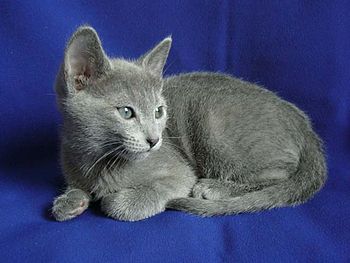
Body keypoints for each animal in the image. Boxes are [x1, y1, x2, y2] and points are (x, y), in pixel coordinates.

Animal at [51, 26, 326, 223]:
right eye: (127, 112)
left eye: (158, 111)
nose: (154, 140)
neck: (96, 160)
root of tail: (302, 122)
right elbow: (76, 188)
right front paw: (70, 201)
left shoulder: (179, 175)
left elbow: (127, 201)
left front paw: (112, 199)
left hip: (214, 128)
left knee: (281, 175)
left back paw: (214, 187)